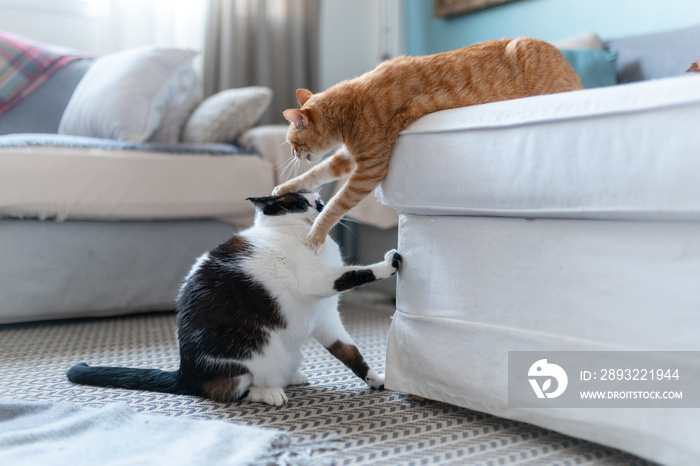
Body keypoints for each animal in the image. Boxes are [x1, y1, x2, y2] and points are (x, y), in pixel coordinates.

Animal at [70, 191, 402, 406]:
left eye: (319, 202)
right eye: (299, 204)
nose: (321, 206)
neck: (312, 242)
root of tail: (185, 373)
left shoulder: (326, 318)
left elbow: (351, 354)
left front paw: (378, 381)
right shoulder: (317, 281)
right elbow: (355, 273)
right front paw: (390, 263)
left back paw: (291, 377)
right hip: (251, 352)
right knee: (231, 391)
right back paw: (270, 393)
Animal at [270, 37, 584, 248]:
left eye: (293, 142)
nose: (294, 154)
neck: (351, 106)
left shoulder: (369, 169)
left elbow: (337, 203)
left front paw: (316, 233)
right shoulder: (348, 157)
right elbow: (316, 173)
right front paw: (285, 187)